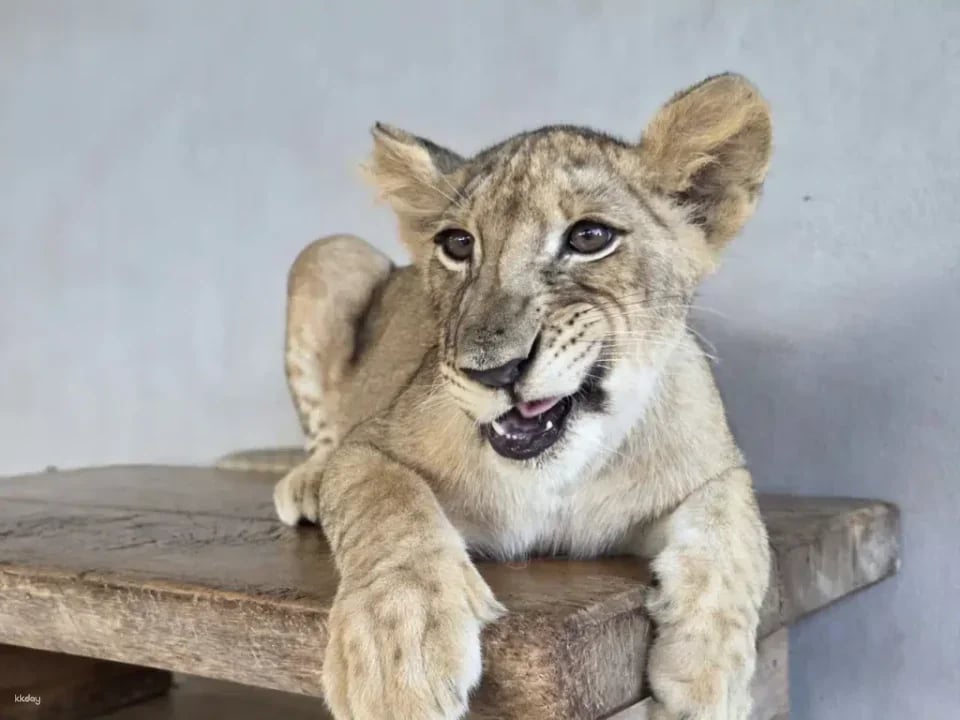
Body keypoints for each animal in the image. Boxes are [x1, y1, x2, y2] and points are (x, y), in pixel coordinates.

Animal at [273, 73, 773, 720]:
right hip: (330, 253)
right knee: (325, 438)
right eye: (458, 244)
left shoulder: (717, 469)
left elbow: (736, 536)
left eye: (590, 237)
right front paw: (396, 652)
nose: (494, 371)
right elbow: (388, 507)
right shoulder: (372, 443)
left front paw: (711, 677)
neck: (559, 476)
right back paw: (307, 481)